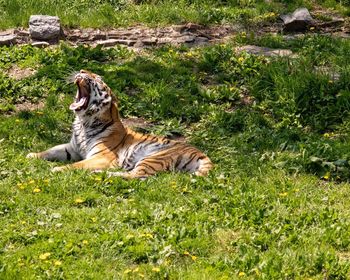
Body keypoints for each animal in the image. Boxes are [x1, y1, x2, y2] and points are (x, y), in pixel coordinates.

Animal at [26, 70, 213, 179]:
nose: (82, 70)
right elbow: (51, 150)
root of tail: (201, 153)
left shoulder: (102, 156)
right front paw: (32, 155)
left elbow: (77, 165)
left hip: (154, 157)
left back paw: (101, 173)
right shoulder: (72, 148)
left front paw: (57, 169)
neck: (83, 122)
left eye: (97, 78)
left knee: (137, 176)